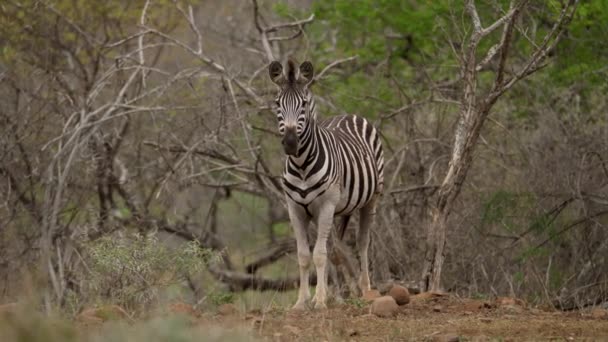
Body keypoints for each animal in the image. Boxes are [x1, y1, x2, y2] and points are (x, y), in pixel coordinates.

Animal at [268, 59, 382, 310]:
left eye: (303, 104)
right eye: (278, 104)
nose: (290, 143)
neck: (301, 165)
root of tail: (348, 115)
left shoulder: (326, 205)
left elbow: (319, 254)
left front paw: (320, 301)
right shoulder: (295, 209)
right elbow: (304, 255)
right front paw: (303, 301)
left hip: (370, 199)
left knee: (362, 242)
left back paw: (365, 289)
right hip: (333, 211)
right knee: (334, 249)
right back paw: (336, 295)